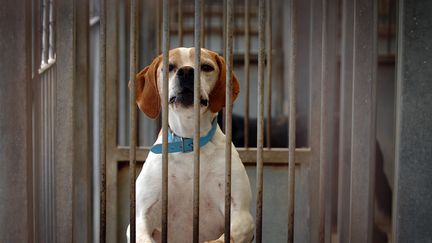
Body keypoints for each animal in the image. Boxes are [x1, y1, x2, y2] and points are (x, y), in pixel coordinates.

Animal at [127, 46, 256, 242]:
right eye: (170, 67)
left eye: (206, 67)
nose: (187, 71)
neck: (189, 141)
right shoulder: (141, 215)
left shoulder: (241, 214)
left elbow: (226, 236)